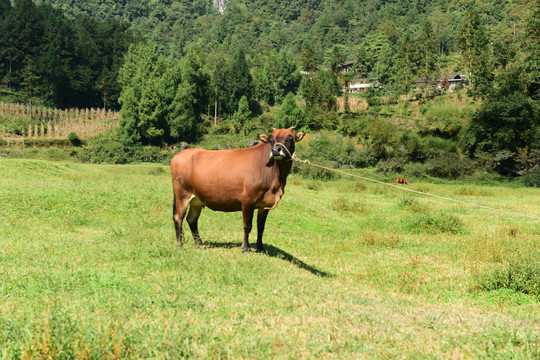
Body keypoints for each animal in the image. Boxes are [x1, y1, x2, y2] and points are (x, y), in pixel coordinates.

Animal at [170, 126, 304, 253]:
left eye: (289, 138)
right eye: (272, 139)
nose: (276, 150)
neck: (277, 179)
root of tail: (179, 154)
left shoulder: (264, 204)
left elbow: (261, 227)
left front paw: (260, 249)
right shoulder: (248, 199)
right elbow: (247, 225)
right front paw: (246, 249)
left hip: (197, 199)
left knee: (191, 219)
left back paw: (200, 244)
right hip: (182, 194)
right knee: (178, 217)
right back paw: (179, 245)